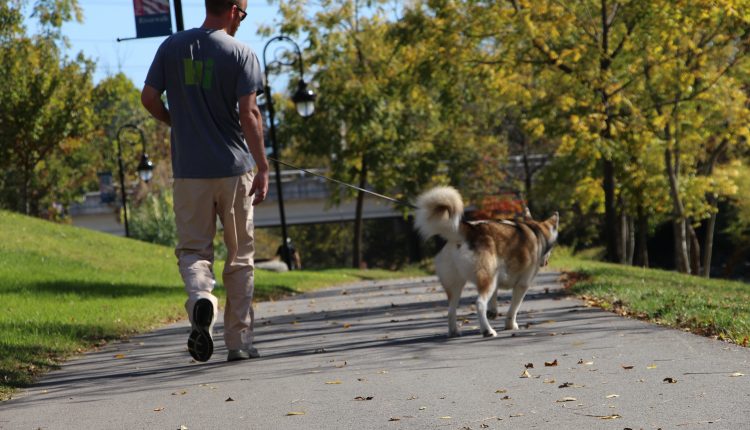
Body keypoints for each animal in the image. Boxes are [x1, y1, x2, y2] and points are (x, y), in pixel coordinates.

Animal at [414, 186, 560, 338]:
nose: (546, 262)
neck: (534, 230)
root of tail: (469, 230)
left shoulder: (496, 278)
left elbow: (494, 297)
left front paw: (493, 311)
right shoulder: (522, 285)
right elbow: (513, 309)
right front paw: (510, 325)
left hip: (457, 284)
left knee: (451, 310)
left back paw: (454, 331)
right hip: (486, 279)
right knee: (479, 303)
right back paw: (487, 330)